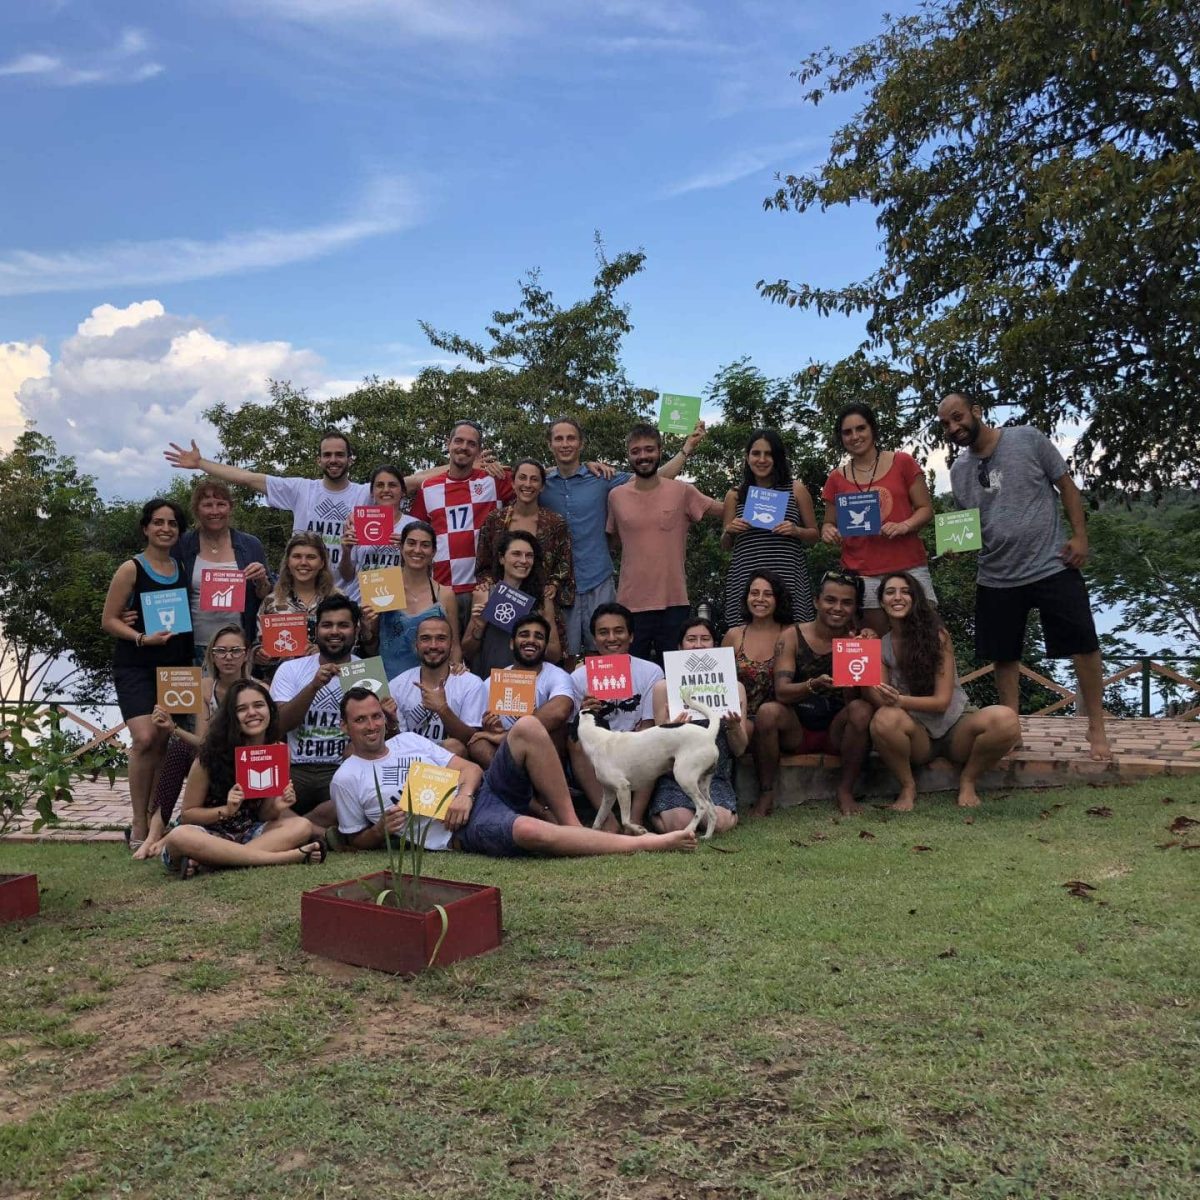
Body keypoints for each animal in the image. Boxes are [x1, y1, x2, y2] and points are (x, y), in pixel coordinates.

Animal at [576, 694, 723, 838]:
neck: (598, 740)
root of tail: (708, 734)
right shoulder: (609, 794)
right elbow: (598, 820)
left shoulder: (623, 788)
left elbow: (625, 820)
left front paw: (639, 830)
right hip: (703, 784)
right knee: (712, 810)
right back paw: (707, 836)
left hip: (685, 778)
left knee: (702, 806)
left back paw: (688, 830)